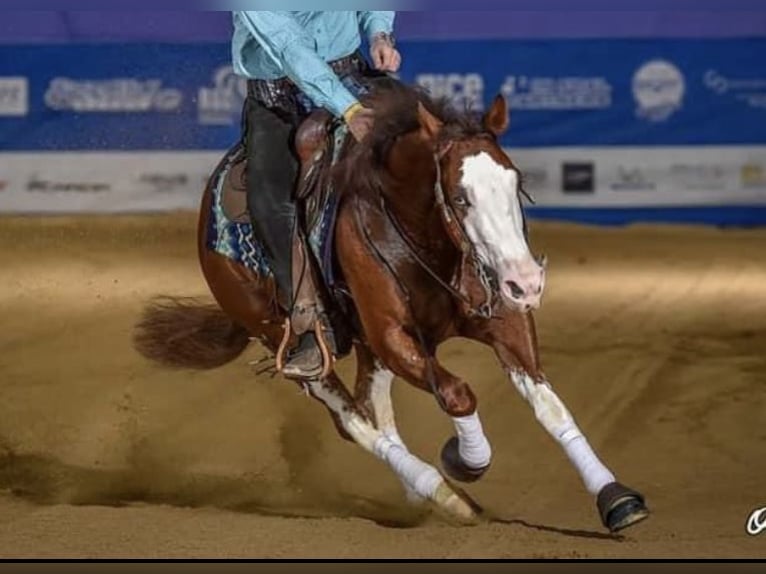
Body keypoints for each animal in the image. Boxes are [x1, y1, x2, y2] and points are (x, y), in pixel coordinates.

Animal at [134, 77, 648, 536]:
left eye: (515, 181)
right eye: (460, 197)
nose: (525, 282)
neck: (416, 232)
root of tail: (210, 201)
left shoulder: (502, 323)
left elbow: (550, 407)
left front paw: (615, 498)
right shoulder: (394, 337)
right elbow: (458, 394)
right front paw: (462, 461)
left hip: (369, 350)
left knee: (374, 411)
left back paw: (424, 494)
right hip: (290, 341)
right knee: (353, 421)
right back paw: (444, 494)